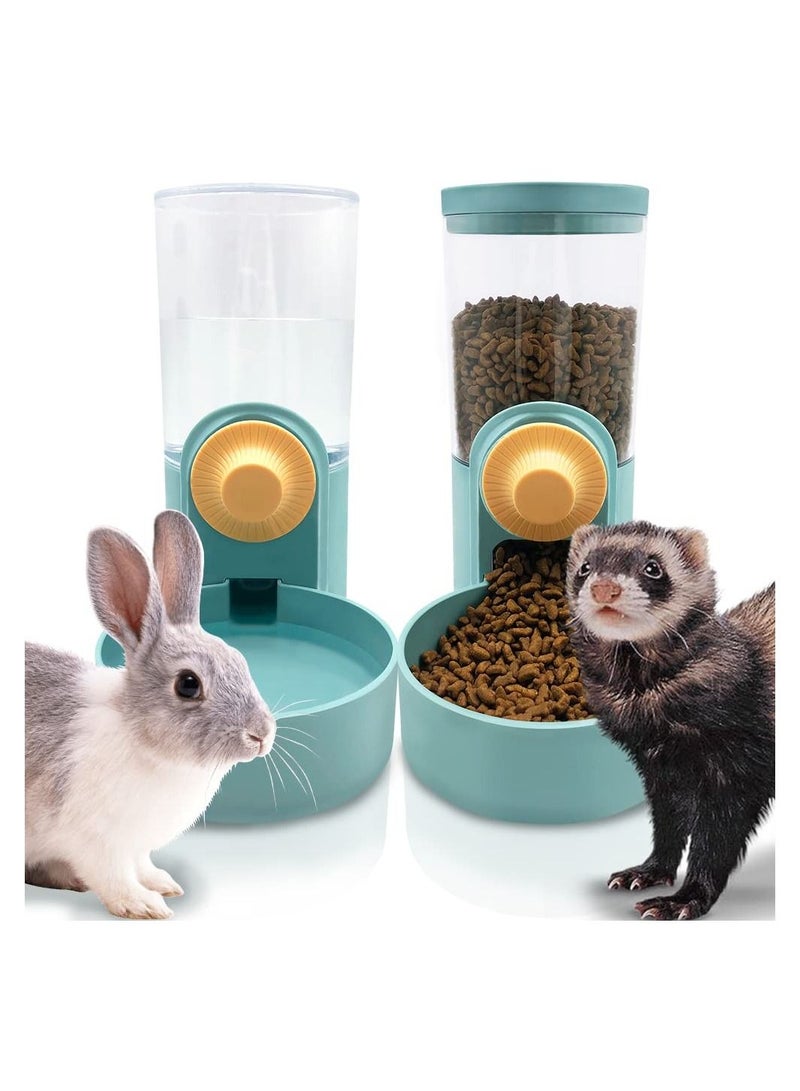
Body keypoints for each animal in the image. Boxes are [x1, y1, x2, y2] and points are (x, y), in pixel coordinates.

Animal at [25, 509, 276, 919]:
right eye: (188, 684)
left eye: (240, 660)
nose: (261, 735)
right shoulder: (95, 841)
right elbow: (113, 878)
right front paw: (144, 906)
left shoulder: (135, 846)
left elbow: (142, 865)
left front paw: (164, 884)